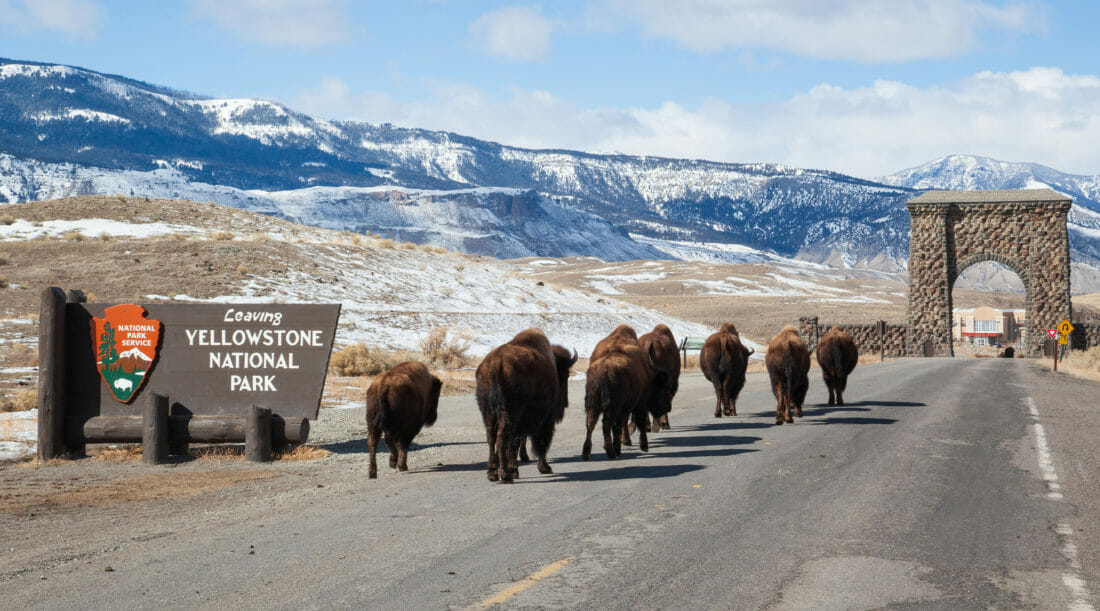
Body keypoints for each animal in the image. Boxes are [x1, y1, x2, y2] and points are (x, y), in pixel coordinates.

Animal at [473, 330, 576, 482]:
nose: (566, 403)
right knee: (503, 438)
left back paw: (492, 474)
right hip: (511, 414)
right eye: (565, 375)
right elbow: (539, 442)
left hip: (488, 413)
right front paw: (544, 468)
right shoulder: (545, 419)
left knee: (491, 438)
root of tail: (496, 362)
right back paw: (506, 476)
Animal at [580, 325, 664, 457]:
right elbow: (638, 422)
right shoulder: (639, 403)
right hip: (613, 407)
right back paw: (611, 452)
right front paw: (644, 446)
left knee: (591, 424)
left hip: (592, 404)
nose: (665, 408)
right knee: (606, 425)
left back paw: (587, 453)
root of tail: (604, 369)